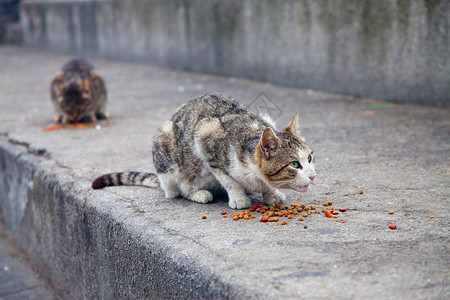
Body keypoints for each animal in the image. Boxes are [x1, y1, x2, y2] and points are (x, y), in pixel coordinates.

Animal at [92, 94, 316, 209]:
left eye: (310, 157)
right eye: (294, 164)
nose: (313, 175)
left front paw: (271, 193)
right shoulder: (206, 137)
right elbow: (229, 180)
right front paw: (239, 198)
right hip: (166, 151)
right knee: (176, 190)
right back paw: (199, 193)